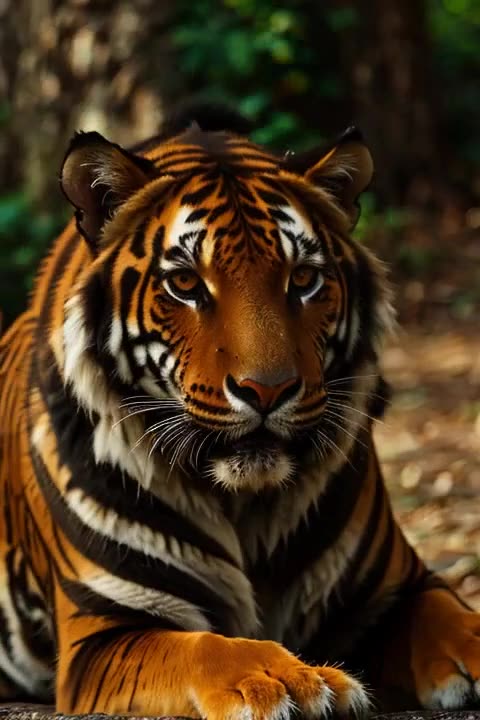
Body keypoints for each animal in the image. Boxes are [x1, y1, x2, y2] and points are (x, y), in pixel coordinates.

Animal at [0, 101, 479, 718]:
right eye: (185, 283)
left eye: (304, 279)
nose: (268, 391)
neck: (247, 505)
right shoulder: (107, 629)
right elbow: (207, 646)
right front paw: (292, 682)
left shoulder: (401, 588)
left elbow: (457, 620)